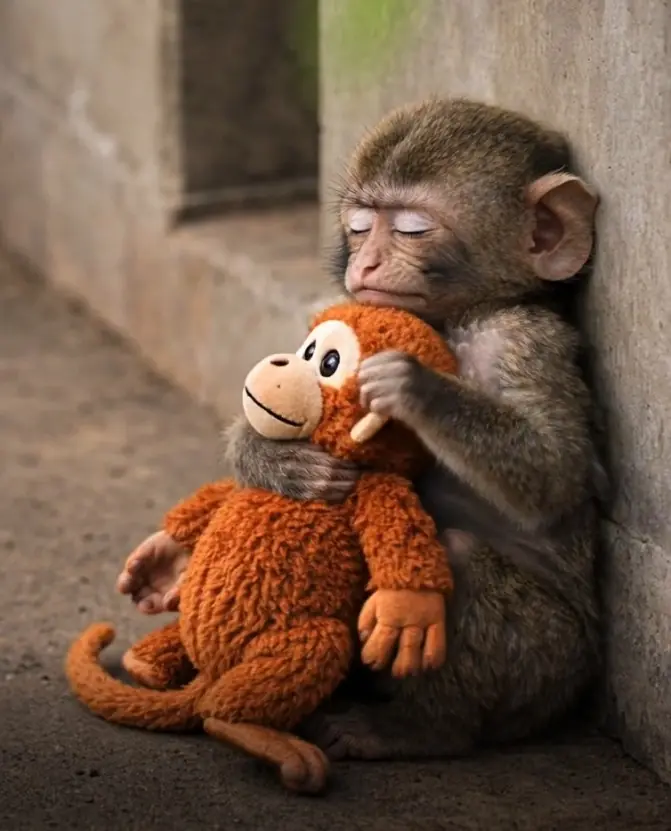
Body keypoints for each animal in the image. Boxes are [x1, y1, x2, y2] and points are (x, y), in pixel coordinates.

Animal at [118, 97, 605, 761]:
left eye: (411, 228)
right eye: (358, 225)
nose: (366, 261)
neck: (455, 320)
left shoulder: (524, 339)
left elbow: (556, 472)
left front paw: (413, 384)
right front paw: (272, 461)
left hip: (548, 666)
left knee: (462, 556)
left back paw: (419, 729)